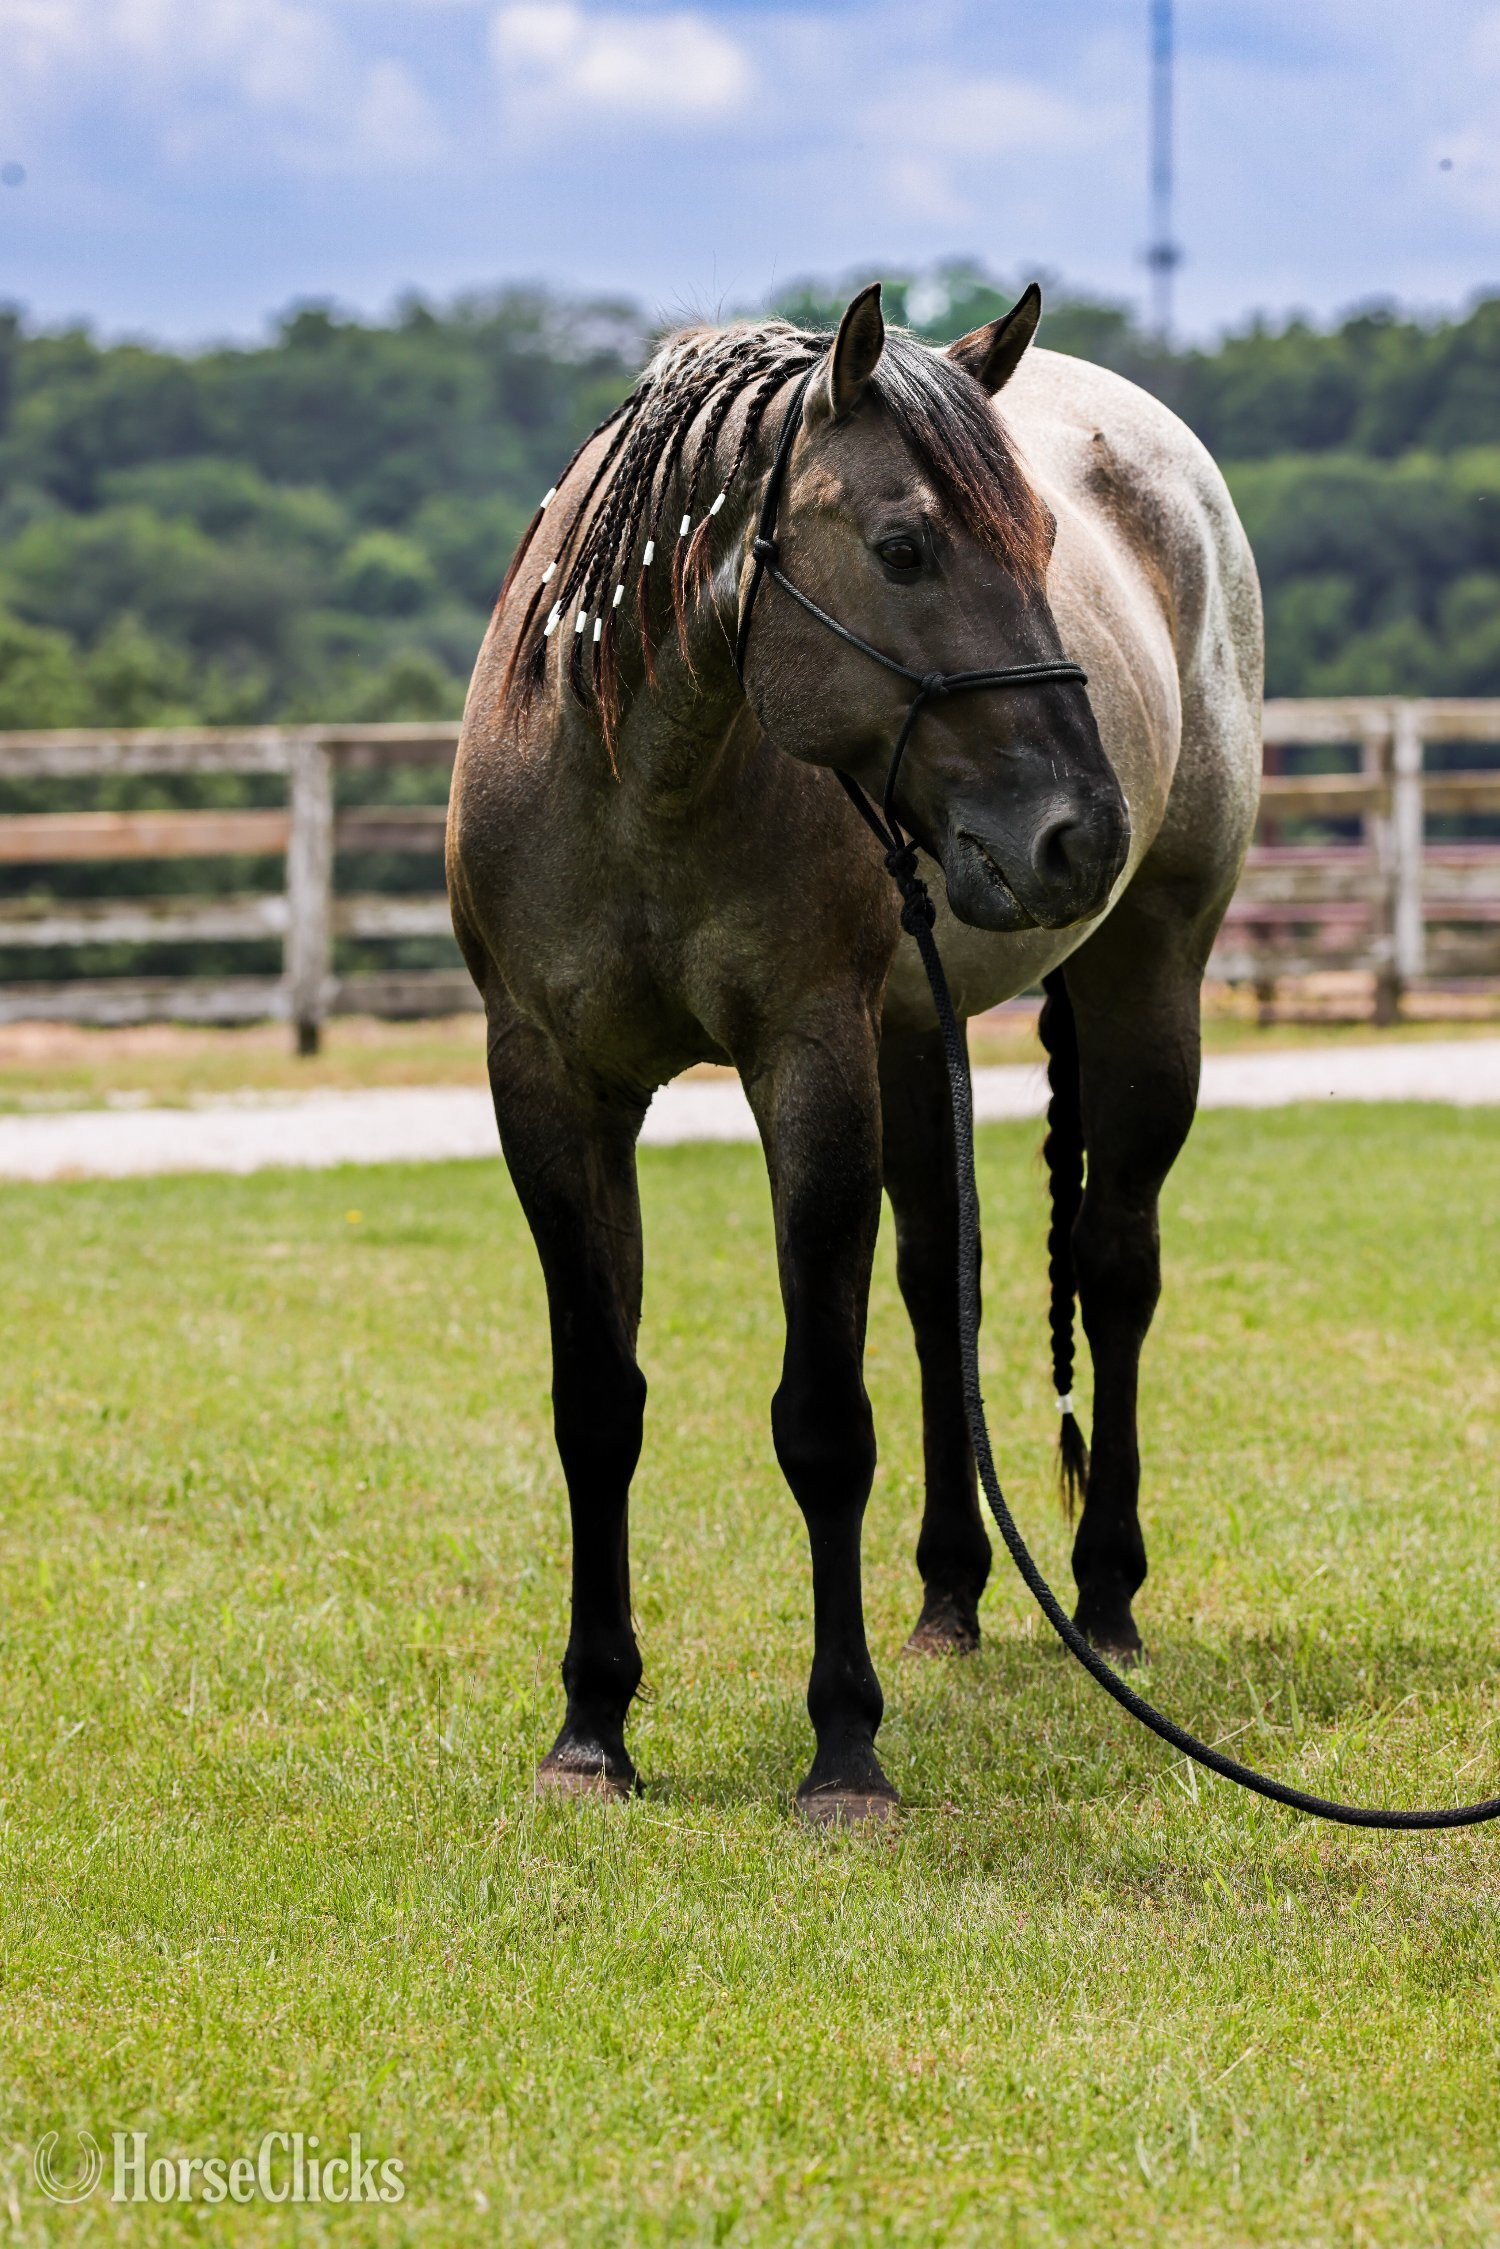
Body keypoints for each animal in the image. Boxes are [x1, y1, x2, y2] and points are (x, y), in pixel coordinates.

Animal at [448, 281, 1262, 1824]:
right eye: (902, 548)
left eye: (1047, 545)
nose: (1082, 833)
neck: (642, 775)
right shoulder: (553, 1090)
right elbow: (598, 1409)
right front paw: (591, 1726)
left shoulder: (810, 1069)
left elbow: (823, 1420)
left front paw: (844, 1746)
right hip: (915, 1033)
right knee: (946, 1288)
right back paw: (949, 1596)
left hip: (1146, 985)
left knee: (1115, 1271)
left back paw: (1104, 1594)